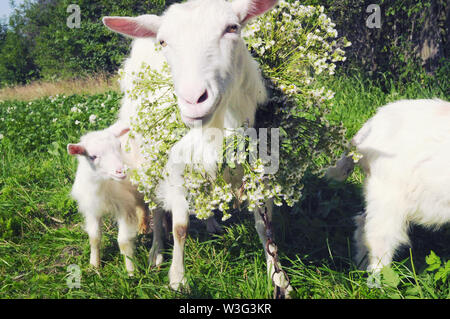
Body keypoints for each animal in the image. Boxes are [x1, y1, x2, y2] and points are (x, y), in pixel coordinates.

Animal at [67, 124, 148, 276]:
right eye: (92, 156)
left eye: (119, 146)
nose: (121, 171)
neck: (105, 184)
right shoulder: (92, 209)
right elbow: (94, 238)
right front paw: (94, 265)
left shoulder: (125, 208)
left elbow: (123, 241)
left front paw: (131, 271)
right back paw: (142, 227)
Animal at [102, 0, 292, 296]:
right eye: (164, 41)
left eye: (232, 28)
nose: (193, 100)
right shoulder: (176, 165)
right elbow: (180, 227)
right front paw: (178, 279)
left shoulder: (259, 167)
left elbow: (265, 225)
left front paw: (278, 276)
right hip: (150, 156)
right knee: (156, 206)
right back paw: (156, 251)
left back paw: (211, 223)